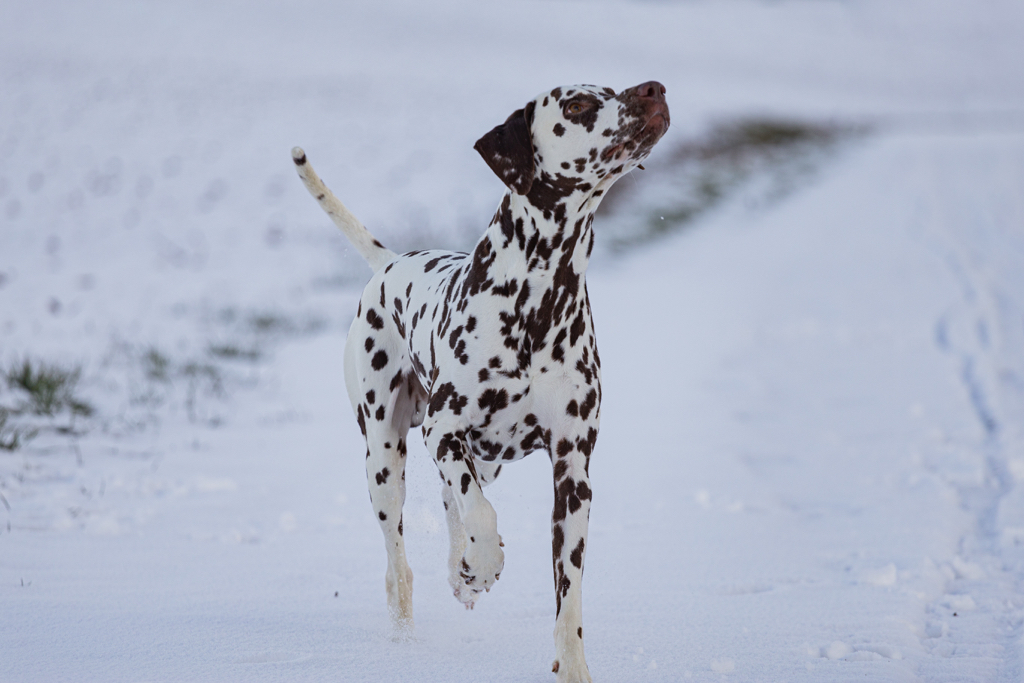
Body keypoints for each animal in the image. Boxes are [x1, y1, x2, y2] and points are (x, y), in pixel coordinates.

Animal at [292, 81, 667, 683]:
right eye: (578, 105)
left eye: (613, 91)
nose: (653, 89)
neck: (539, 301)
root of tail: (391, 262)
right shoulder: (443, 430)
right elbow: (482, 514)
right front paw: (487, 562)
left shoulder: (573, 474)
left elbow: (568, 595)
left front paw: (572, 666)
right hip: (384, 458)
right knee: (401, 564)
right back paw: (412, 630)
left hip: (483, 459)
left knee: (455, 504)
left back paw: (460, 570)